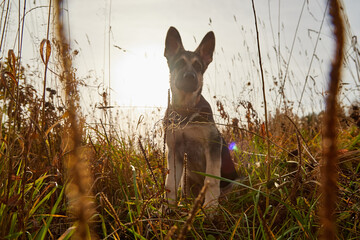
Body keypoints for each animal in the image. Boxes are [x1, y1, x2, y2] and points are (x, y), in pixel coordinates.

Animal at [164, 26, 238, 208]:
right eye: (179, 63)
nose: (190, 77)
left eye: (198, 66)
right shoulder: (174, 151)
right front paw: (167, 209)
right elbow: (170, 184)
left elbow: (211, 181)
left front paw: (210, 207)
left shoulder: (212, 146)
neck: (186, 110)